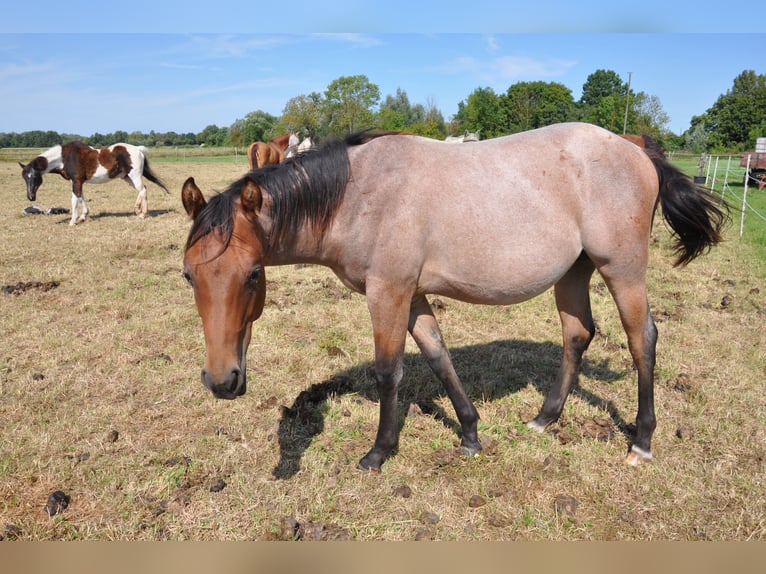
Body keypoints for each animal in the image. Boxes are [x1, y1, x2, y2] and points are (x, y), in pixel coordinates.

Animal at [20, 141, 168, 225]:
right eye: (25, 178)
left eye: (34, 176)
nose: (31, 197)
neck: (65, 158)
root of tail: (138, 149)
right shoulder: (77, 182)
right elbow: (81, 197)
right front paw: (83, 217)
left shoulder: (76, 181)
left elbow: (74, 200)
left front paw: (73, 221)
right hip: (127, 177)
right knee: (142, 190)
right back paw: (137, 210)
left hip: (134, 176)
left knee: (142, 190)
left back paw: (142, 214)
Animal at [181, 122, 728, 472]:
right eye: (188, 276)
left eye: (253, 275)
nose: (222, 381)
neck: (356, 196)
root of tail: (636, 148)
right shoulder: (413, 296)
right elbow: (439, 358)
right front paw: (470, 434)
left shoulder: (388, 293)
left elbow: (389, 371)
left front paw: (379, 452)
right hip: (574, 272)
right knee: (578, 334)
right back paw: (544, 418)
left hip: (623, 270)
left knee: (642, 341)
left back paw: (642, 441)